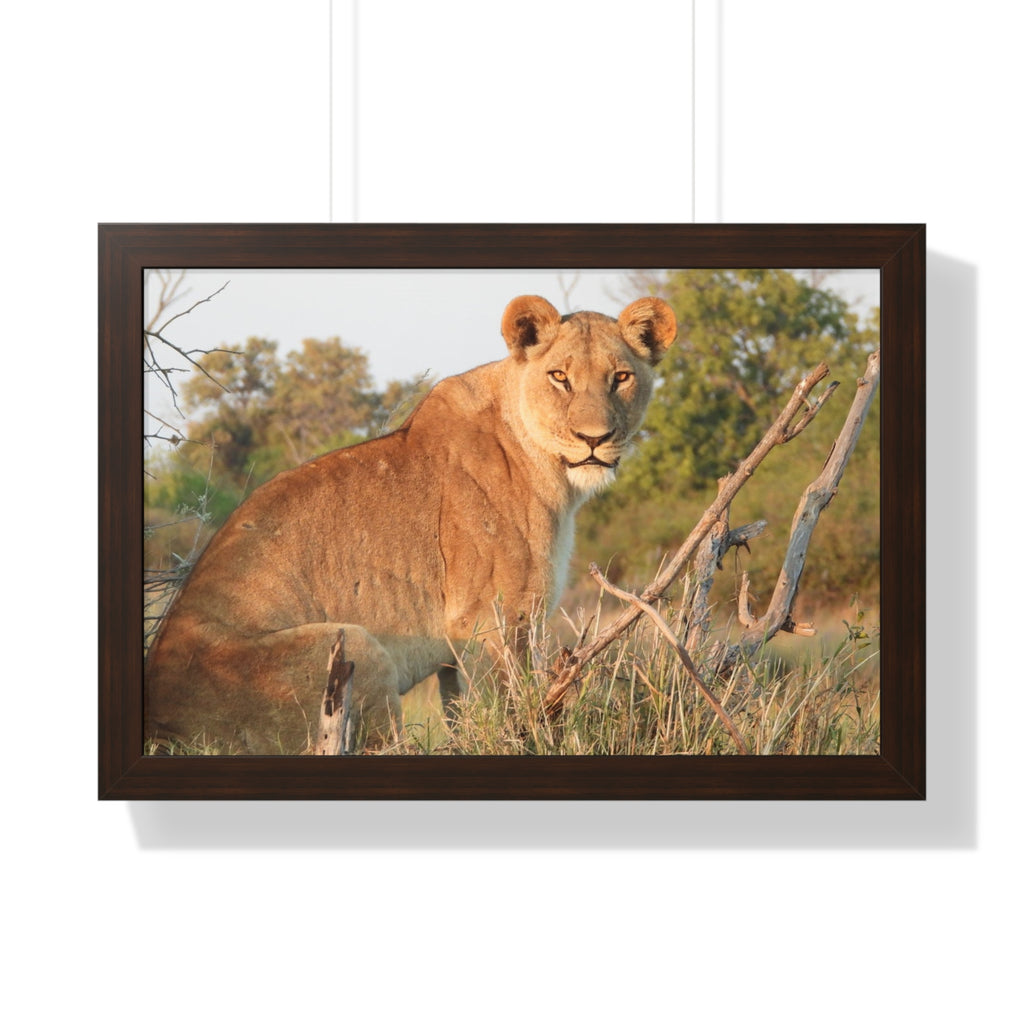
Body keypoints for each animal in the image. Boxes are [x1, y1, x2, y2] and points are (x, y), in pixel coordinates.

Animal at [145, 294, 677, 753]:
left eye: (621, 377)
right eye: (560, 376)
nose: (594, 439)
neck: (550, 470)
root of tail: (160, 722)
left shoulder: (461, 645)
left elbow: (465, 712)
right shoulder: (492, 622)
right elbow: (510, 712)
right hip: (356, 646)